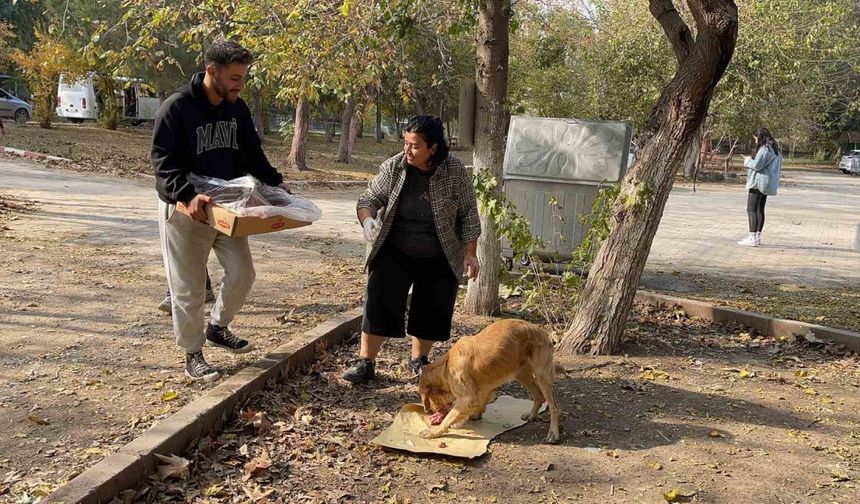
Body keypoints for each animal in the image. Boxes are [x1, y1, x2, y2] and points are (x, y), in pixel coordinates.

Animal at [418, 320, 564, 442]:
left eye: (430, 399)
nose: (430, 412)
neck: (446, 365)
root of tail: (543, 332)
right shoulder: (483, 388)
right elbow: (478, 404)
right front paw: (474, 415)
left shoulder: (468, 397)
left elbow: (450, 416)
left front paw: (434, 432)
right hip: (520, 373)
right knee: (539, 396)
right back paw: (532, 415)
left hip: (542, 375)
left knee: (554, 407)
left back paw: (553, 433)